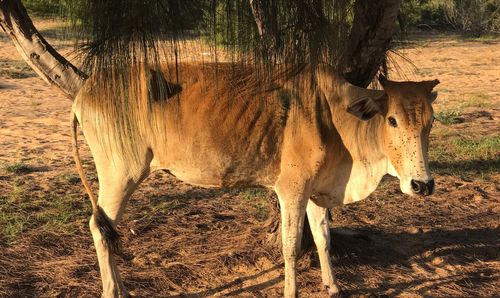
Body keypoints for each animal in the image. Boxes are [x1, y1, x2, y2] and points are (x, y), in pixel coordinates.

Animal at [69, 62, 438, 296]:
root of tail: (85, 88)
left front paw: (332, 286)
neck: (334, 116)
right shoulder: (291, 190)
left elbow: (323, 239)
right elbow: (291, 247)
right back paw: (114, 290)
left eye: (430, 120)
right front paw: (291, 291)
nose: (422, 185)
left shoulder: (315, 191)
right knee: (98, 228)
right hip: (121, 175)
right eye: (392, 119)